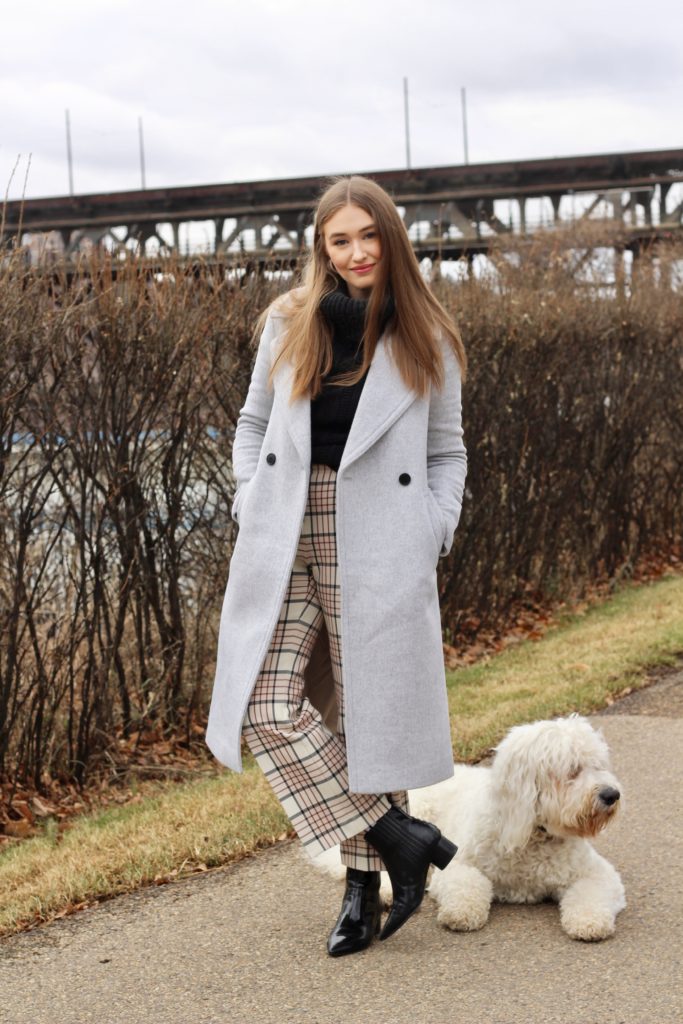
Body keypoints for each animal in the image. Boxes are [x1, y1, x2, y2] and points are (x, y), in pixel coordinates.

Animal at [313, 716, 626, 937]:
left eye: (599, 765)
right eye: (573, 770)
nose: (612, 795)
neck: (532, 833)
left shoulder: (597, 873)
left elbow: (592, 892)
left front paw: (589, 921)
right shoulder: (457, 863)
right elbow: (469, 883)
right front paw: (461, 912)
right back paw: (390, 892)